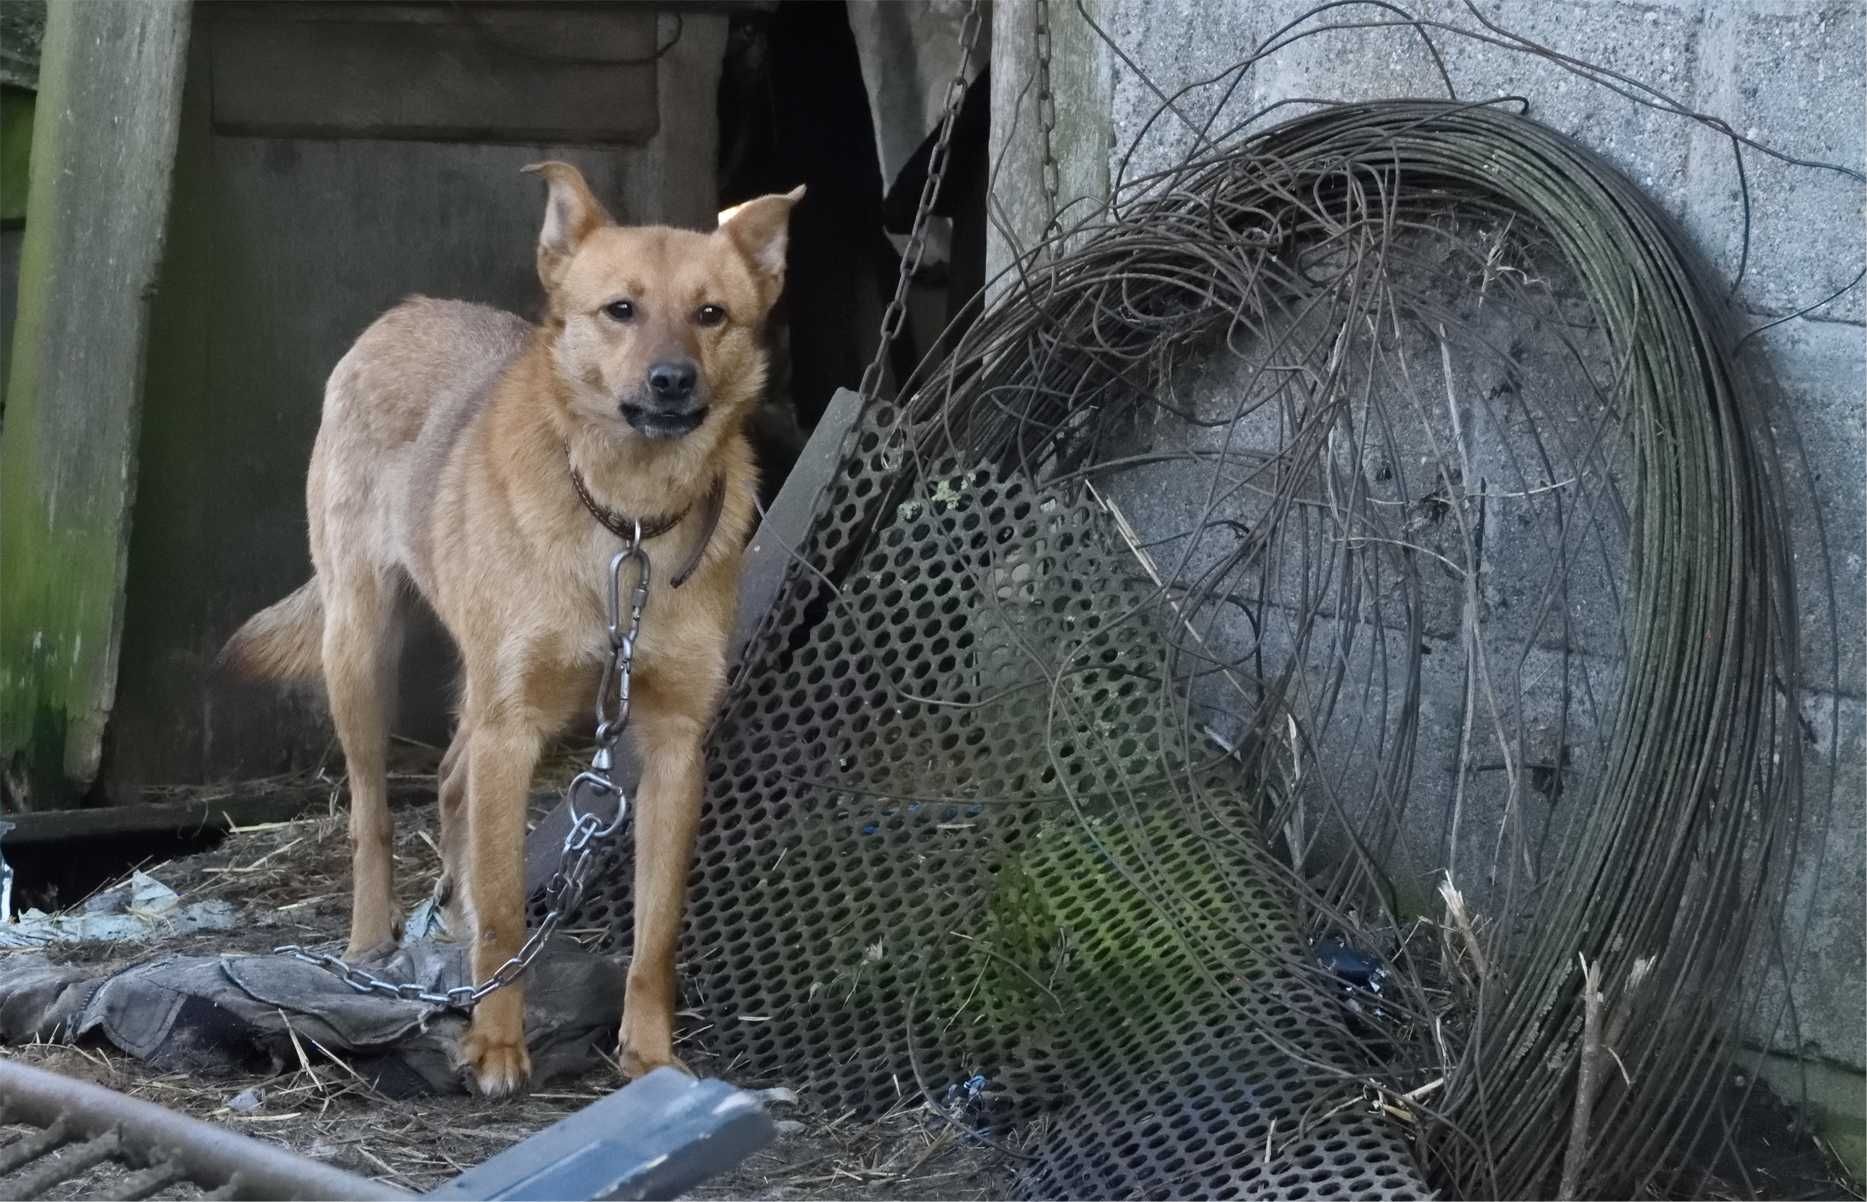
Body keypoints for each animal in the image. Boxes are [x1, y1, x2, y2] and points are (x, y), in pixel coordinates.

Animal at [220, 164, 802, 1097]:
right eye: (620, 310)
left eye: (711, 314)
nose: (672, 381)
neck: (626, 527)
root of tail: (407, 310)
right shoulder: (514, 725)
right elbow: (501, 911)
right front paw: (494, 1045)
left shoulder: (674, 745)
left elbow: (657, 928)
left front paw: (649, 1054)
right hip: (365, 648)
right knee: (374, 812)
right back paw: (372, 940)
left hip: (481, 688)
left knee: (452, 783)